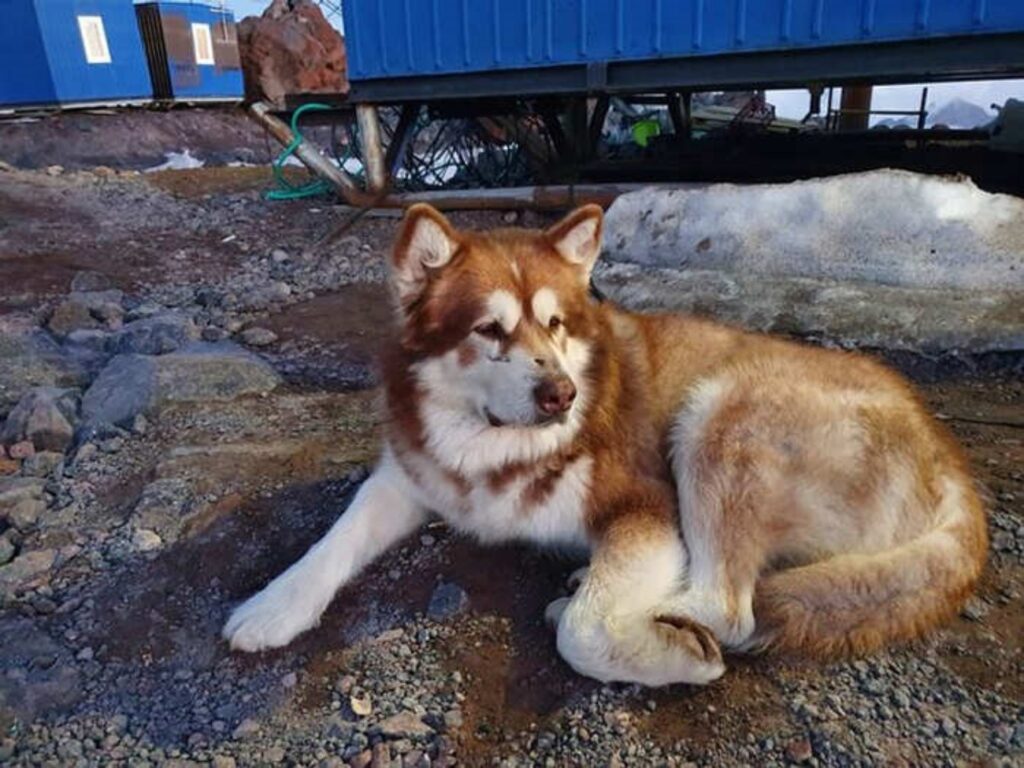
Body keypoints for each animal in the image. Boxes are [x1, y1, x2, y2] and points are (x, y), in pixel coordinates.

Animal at [222, 202, 983, 684]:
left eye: (556, 324)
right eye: (489, 329)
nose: (560, 394)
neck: (488, 447)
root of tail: (946, 453)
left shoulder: (646, 508)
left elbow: (582, 633)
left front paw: (661, 652)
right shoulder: (408, 476)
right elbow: (335, 538)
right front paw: (273, 605)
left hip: (720, 415)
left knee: (727, 607)